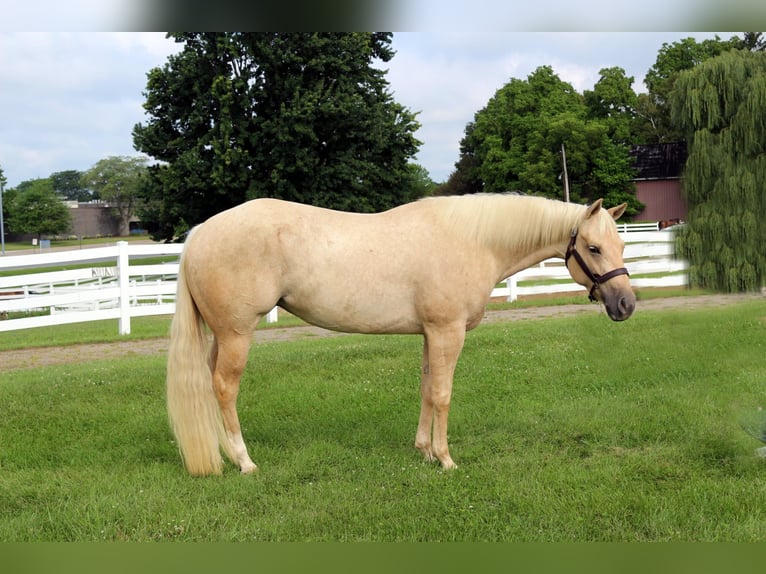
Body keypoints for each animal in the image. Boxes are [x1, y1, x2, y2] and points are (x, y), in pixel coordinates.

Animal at [166, 194, 635, 476]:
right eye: (593, 248)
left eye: (622, 246)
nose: (626, 305)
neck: (472, 241)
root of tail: (199, 233)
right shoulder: (448, 332)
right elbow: (443, 394)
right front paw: (445, 459)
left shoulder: (430, 333)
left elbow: (427, 389)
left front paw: (424, 450)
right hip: (236, 335)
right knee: (225, 388)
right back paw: (244, 462)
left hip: (220, 337)